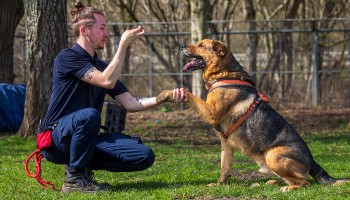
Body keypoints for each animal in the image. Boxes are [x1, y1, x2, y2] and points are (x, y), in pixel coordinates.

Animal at [157, 38, 350, 192]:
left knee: (305, 182)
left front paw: (166, 94)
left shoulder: (211, 112)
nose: (181, 45)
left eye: (201, 45)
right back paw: (273, 182)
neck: (223, 74)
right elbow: (224, 168)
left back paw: (287, 188)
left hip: (273, 155)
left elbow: (188, 93)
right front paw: (219, 185)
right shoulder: (226, 143)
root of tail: (312, 160)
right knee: (295, 179)